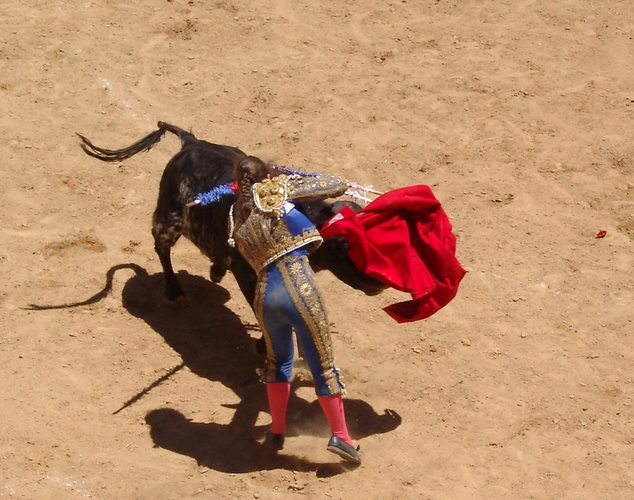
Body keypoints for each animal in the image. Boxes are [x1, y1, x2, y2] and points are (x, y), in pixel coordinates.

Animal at [79, 122, 386, 308]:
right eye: (344, 245)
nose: (380, 283)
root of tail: (190, 142)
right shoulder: (248, 273)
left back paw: (214, 270)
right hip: (170, 219)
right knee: (160, 243)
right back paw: (174, 291)